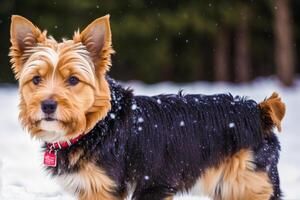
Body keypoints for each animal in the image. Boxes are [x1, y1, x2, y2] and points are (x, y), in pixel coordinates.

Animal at [9, 14, 286, 199]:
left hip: (250, 183)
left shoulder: (109, 186)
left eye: (74, 80)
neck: (96, 126)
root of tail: (258, 111)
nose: (47, 105)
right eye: (36, 80)